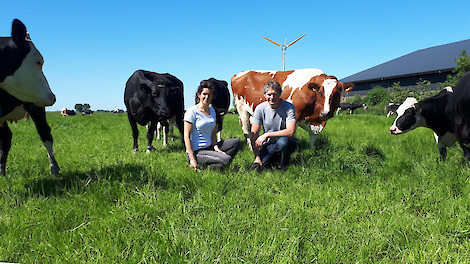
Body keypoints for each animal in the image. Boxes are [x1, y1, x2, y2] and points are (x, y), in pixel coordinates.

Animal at [0, 18, 58, 175]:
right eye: (38, 62)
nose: (52, 96)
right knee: (6, 137)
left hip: (36, 107)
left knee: (45, 133)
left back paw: (54, 168)